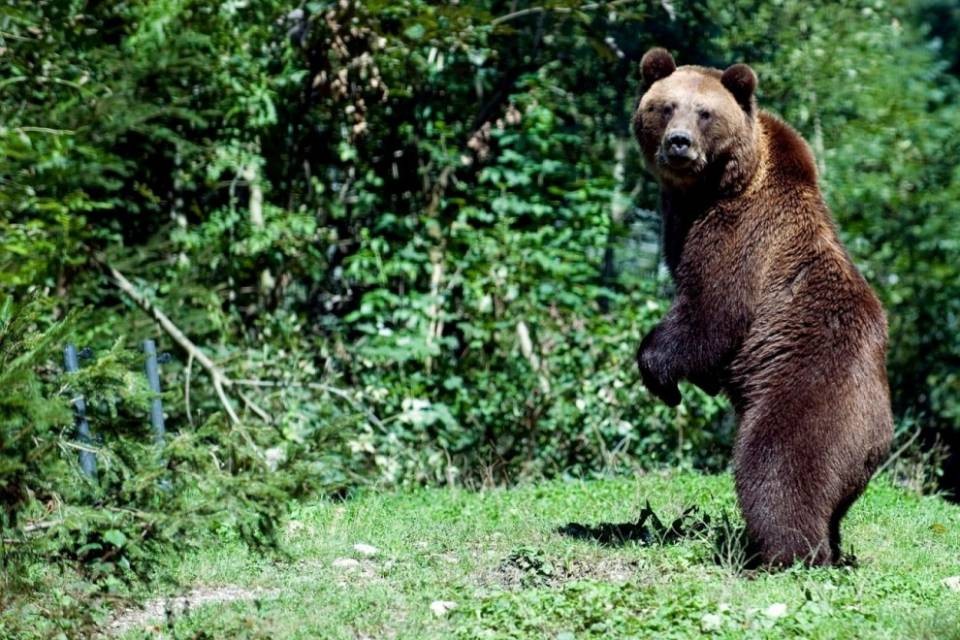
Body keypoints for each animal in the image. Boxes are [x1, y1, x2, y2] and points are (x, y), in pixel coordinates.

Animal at [632, 48, 893, 567]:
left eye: (704, 112)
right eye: (666, 107)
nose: (678, 144)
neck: (710, 188)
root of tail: (881, 434)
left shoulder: (741, 238)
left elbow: (710, 313)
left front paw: (663, 379)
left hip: (809, 397)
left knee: (776, 469)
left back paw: (780, 554)